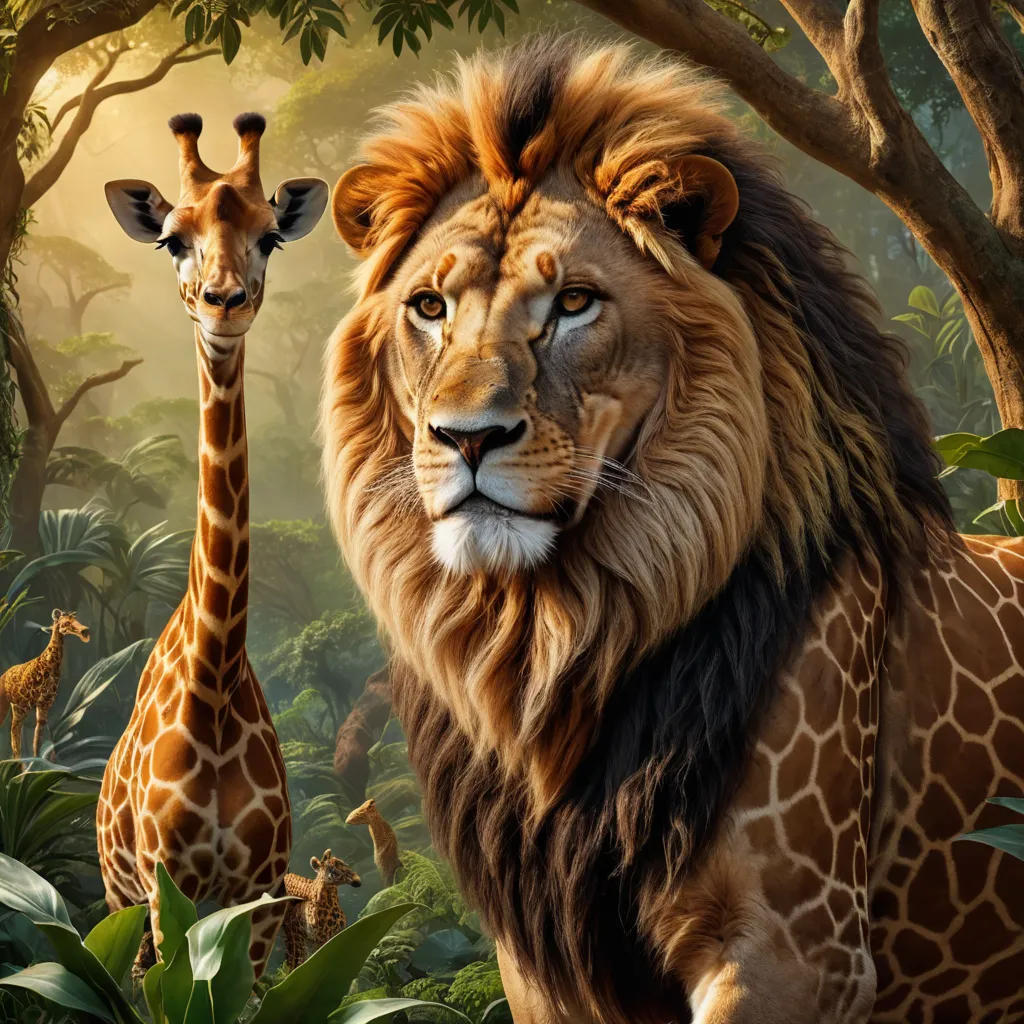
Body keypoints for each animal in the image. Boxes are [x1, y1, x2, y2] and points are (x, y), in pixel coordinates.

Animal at [0, 608, 89, 759]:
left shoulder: (44, 705)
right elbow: (26, 740)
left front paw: (39, 761)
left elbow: (38, 740)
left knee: (14, 734)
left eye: (76, 619)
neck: (50, 665)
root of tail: (4, 674)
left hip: (15, 707)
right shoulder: (27, 706)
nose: (85, 631)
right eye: (66, 622)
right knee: (14, 734)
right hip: (9, 706)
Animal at [96, 112, 328, 977]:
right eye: (172, 239)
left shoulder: (256, 899)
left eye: (272, 237)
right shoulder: (170, 891)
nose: (224, 304)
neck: (217, 684)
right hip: (118, 898)